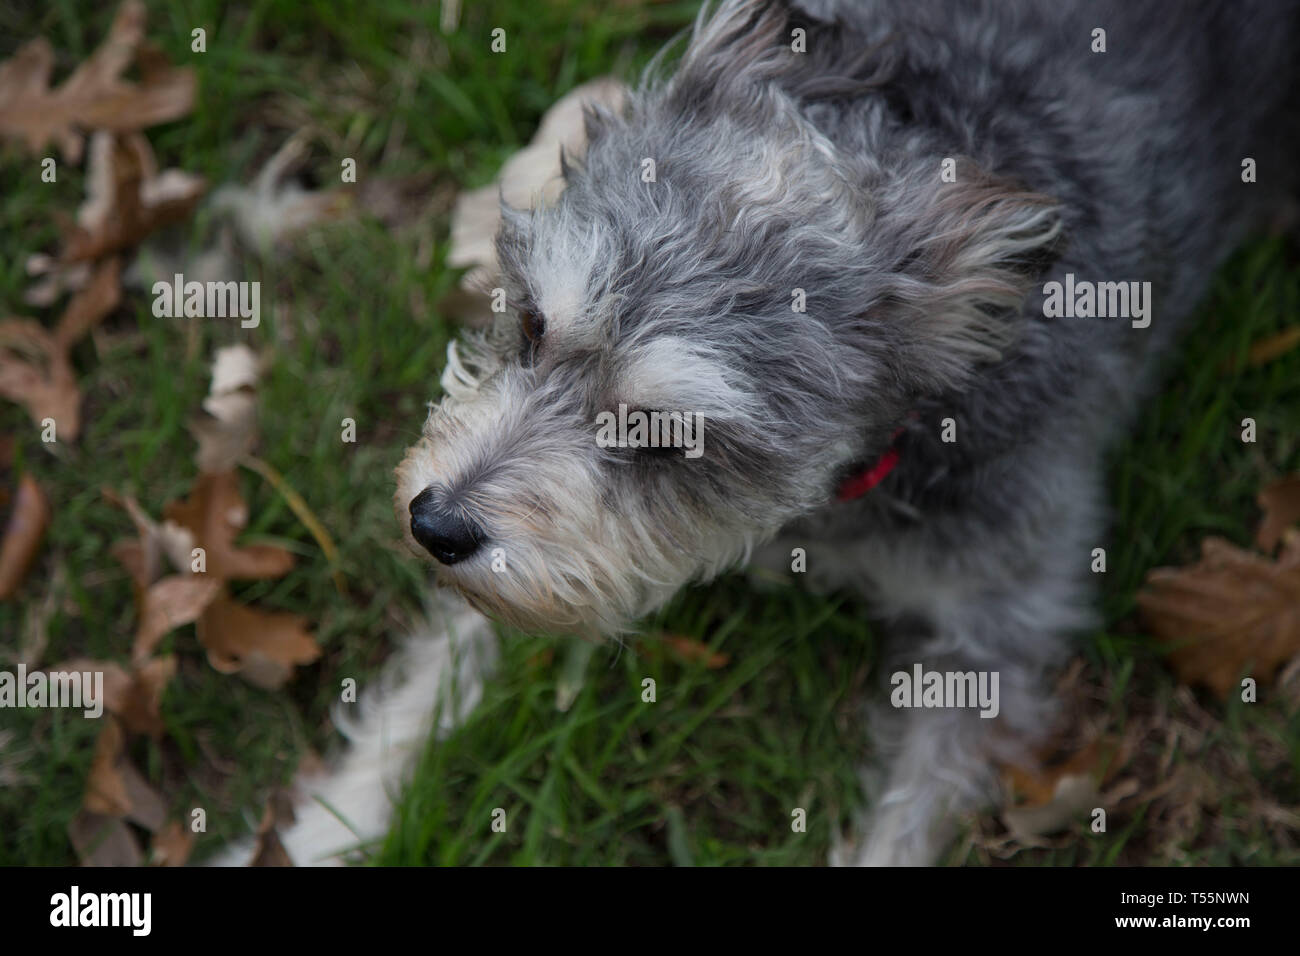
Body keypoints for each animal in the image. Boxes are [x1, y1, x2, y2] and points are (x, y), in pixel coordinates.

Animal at [233, 0, 1300, 868]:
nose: (432, 526)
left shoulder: (996, 634)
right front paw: (321, 828)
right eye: (530, 324)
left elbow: (903, 827)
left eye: (666, 432)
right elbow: (427, 688)